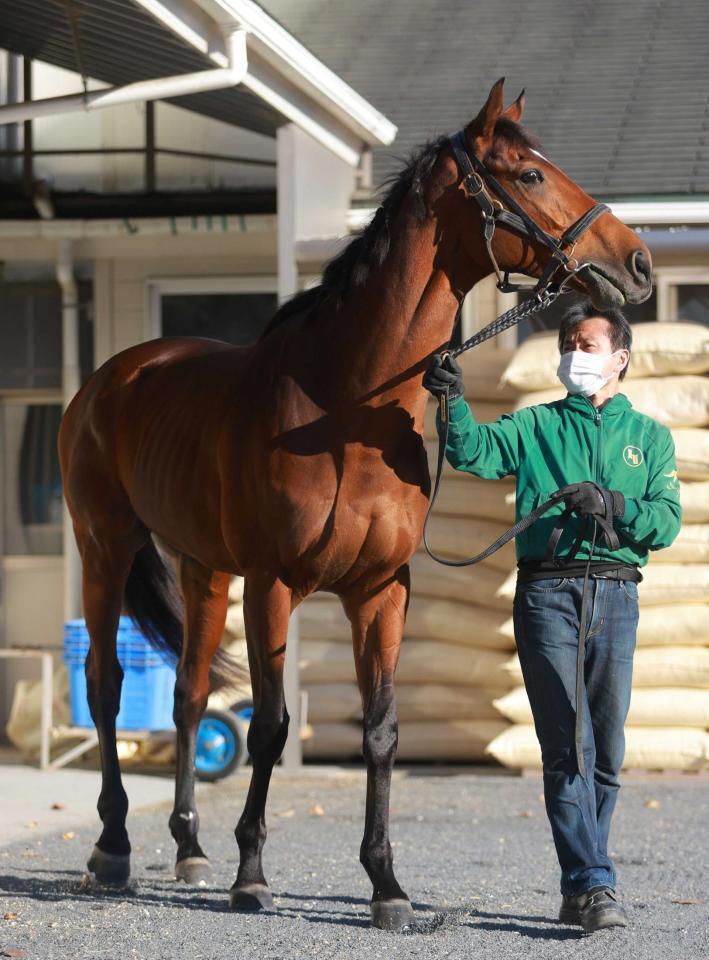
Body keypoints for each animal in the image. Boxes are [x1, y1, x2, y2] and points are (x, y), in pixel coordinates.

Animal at [58, 82, 648, 928]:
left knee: (188, 694)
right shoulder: (275, 586)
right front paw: (253, 875)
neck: (344, 408)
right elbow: (271, 726)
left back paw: (190, 849)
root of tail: (110, 379)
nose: (634, 261)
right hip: (106, 549)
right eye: (530, 174)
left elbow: (380, 730)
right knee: (106, 686)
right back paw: (112, 848)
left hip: (203, 568)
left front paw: (386, 886)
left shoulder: (379, 592)